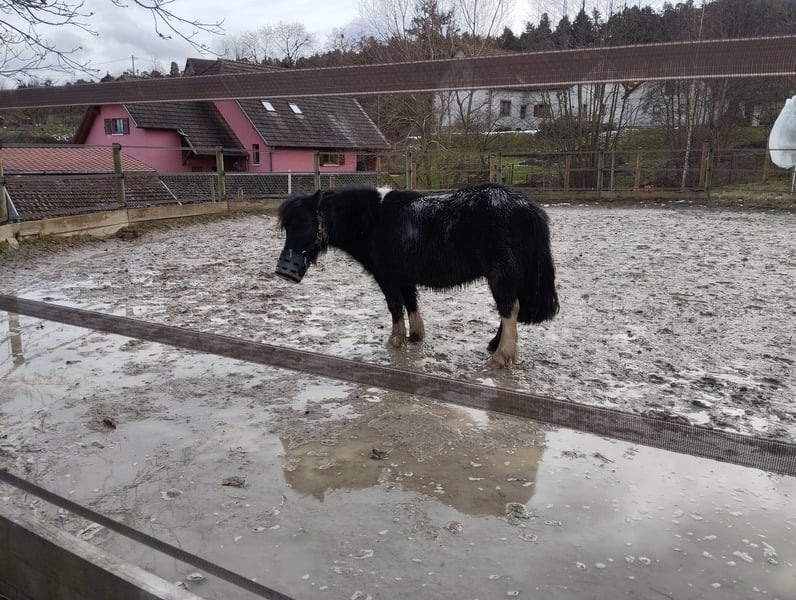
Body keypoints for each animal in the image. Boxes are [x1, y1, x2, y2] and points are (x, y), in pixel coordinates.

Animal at [275, 183, 559, 368]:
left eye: (303, 223)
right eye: (287, 225)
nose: (283, 272)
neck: (373, 220)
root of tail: (530, 208)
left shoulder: (387, 276)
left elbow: (394, 305)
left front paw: (395, 340)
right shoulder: (404, 276)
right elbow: (410, 302)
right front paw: (415, 335)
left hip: (501, 274)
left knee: (509, 308)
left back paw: (501, 357)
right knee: (510, 309)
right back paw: (494, 345)